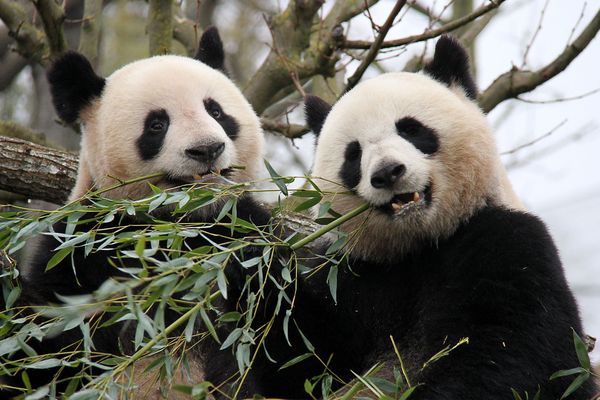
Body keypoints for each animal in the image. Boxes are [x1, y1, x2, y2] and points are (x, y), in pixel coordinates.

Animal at [0, 28, 274, 396]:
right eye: (157, 125)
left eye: (216, 112)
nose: (207, 149)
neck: (181, 225)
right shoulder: (84, 250)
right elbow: (47, 357)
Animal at [294, 36, 596, 398]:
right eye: (354, 154)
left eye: (411, 129)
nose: (388, 172)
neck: (419, 244)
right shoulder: (352, 274)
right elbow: (303, 350)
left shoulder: (508, 241)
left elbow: (523, 352)